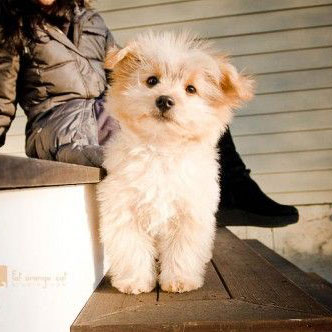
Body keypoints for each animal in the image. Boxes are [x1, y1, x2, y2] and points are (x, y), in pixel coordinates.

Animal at [97, 32, 253, 294]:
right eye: (151, 81)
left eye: (191, 89)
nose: (164, 100)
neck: (162, 149)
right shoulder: (123, 209)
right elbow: (132, 248)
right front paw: (135, 281)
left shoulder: (190, 213)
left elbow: (182, 250)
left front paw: (180, 280)